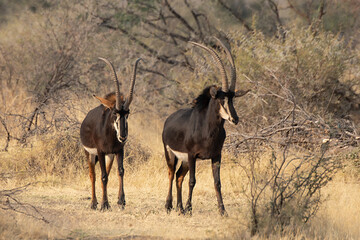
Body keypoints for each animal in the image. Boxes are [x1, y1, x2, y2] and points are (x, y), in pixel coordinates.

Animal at [80, 57, 142, 210]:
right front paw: (104, 204)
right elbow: (102, 176)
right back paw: (94, 203)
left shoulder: (119, 150)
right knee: (93, 175)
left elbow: (120, 171)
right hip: (90, 154)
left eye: (127, 113)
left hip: (110, 156)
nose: (123, 136)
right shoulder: (100, 151)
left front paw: (121, 201)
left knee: (106, 173)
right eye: (114, 113)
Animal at [163, 38, 250, 216]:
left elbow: (217, 182)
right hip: (172, 154)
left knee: (179, 177)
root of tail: (168, 120)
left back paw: (180, 208)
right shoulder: (192, 155)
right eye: (221, 100)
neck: (208, 131)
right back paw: (169, 206)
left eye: (232, 99)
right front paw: (190, 208)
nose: (235, 119)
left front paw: (222, 210)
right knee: (171, 174)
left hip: (185, 161)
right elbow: (192, 181)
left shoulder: (216, 156)